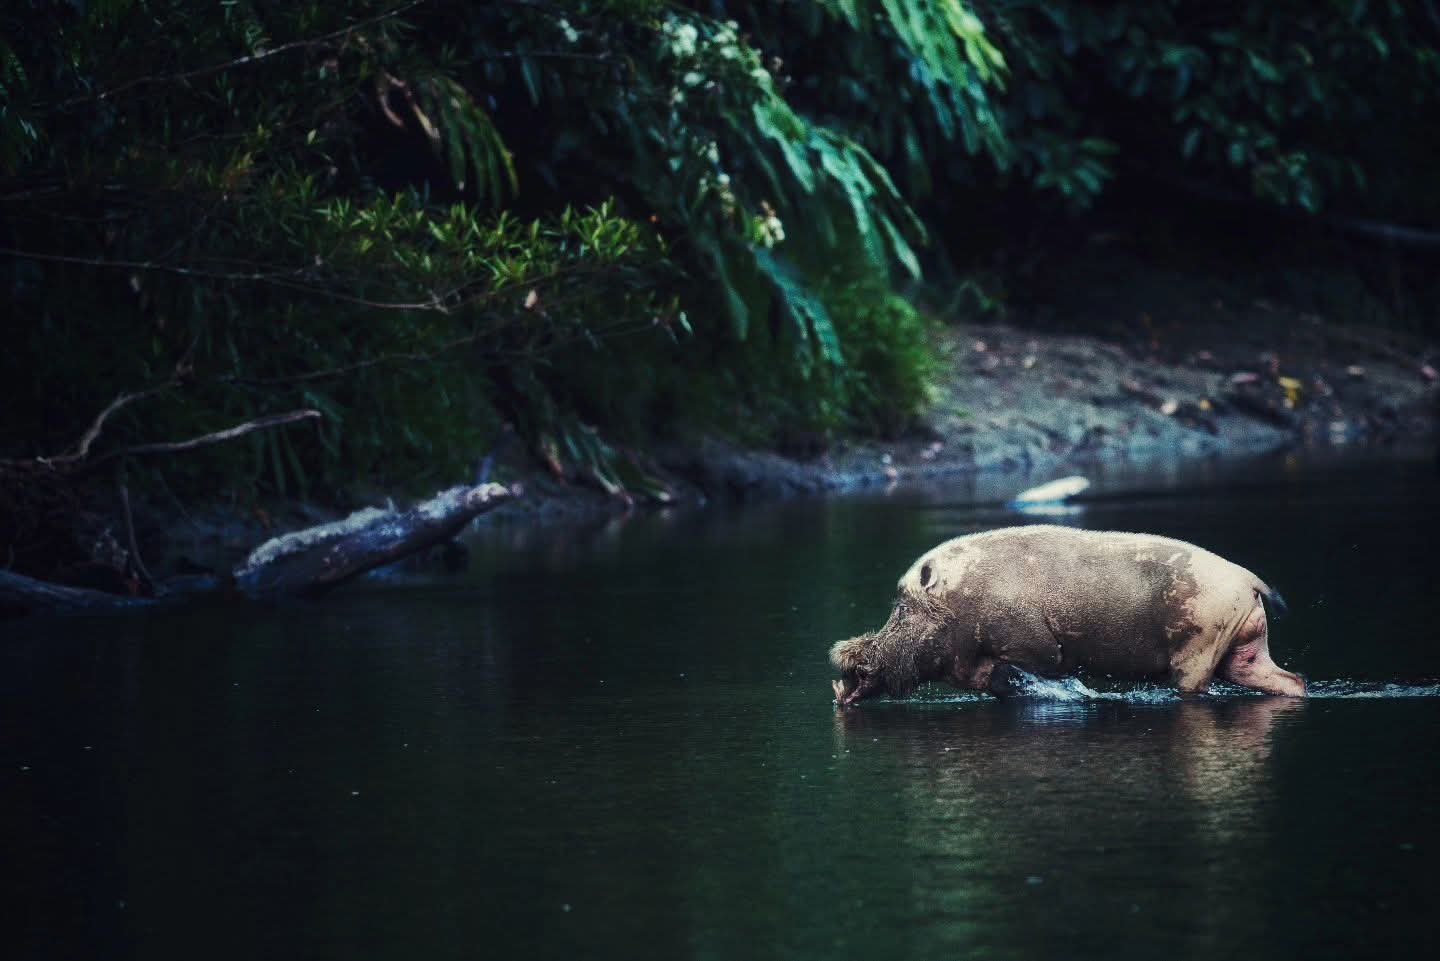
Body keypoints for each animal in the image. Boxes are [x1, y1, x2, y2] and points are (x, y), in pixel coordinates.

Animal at [830, 526, 1305, 705]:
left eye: (899, 607)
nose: (841, 652)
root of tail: (1251, 581)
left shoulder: (1033, 646)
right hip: (1244, 650)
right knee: (1292, 680)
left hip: (1198, 648)